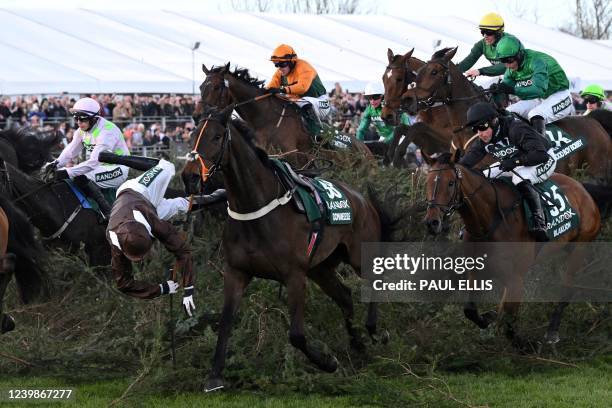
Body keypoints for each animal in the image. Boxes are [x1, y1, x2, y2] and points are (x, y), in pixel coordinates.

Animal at [183, 105, 392, 392]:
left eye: (216, 137)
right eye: (192, 136)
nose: (189, 177)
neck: (256, 209)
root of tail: (362, 197)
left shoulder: (294, 276)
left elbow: (296, 335)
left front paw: (327, 362)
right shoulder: (236, 272)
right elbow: (225, 322)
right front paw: (215, 376)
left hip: (359, 254)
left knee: (374, 283)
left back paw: (374, 331)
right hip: (320, 269)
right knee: (345, 296)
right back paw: (357, 344)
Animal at [194, 63, 372, 167]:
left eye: (217, 87)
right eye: (201, 86)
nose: (197, 116)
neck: (266, 119)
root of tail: (364, 149)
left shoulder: (292, 157)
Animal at [424, 151, 600, 350]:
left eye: (451, 183)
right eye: (427, 182)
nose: (432, 223)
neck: (488, 223)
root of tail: (583, 190)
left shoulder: (516, 278)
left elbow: (509, 321)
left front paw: (525, 345)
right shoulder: (476, 271)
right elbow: (471, 310)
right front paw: (489, 318)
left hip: (580, 248)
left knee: (567, 288)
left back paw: (552, 332)